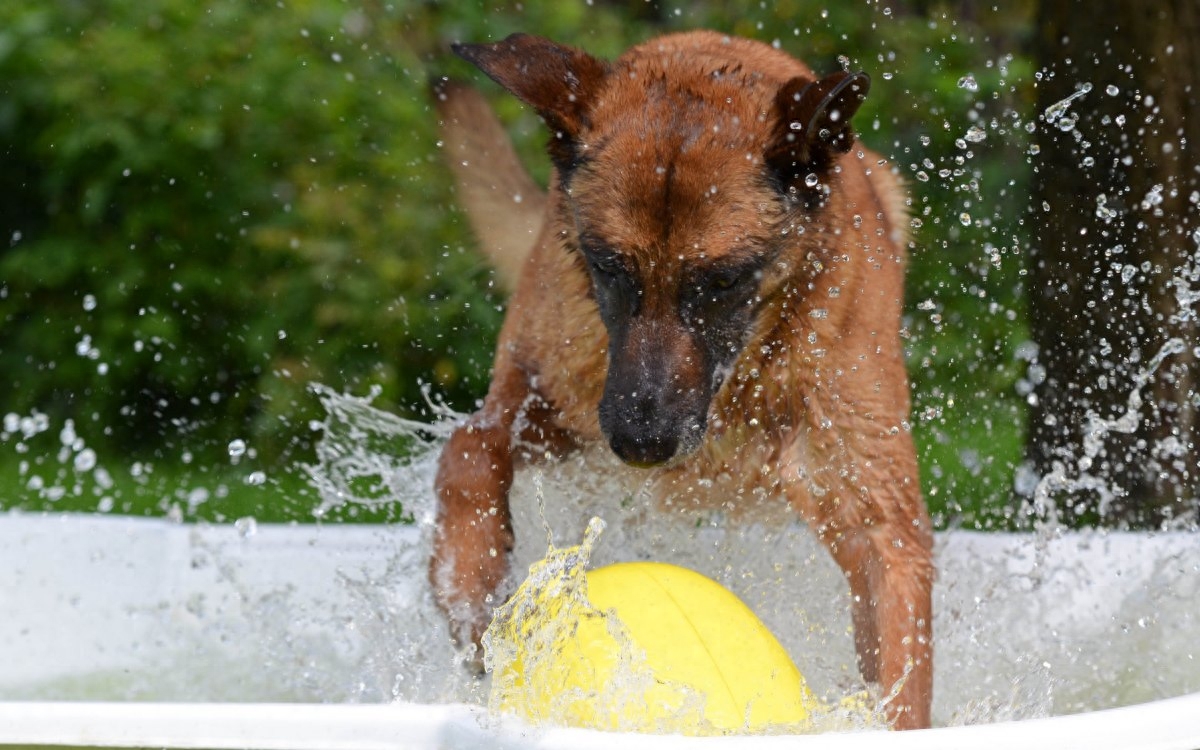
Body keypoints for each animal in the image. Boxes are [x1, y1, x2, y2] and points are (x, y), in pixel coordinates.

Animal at [427, 32, 931, 729]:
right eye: (609, 267)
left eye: (721, 281)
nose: (643, 444)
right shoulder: (549, 403)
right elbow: (469, 449)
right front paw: (470, 587)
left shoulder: (878, 518)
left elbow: (900, 663)